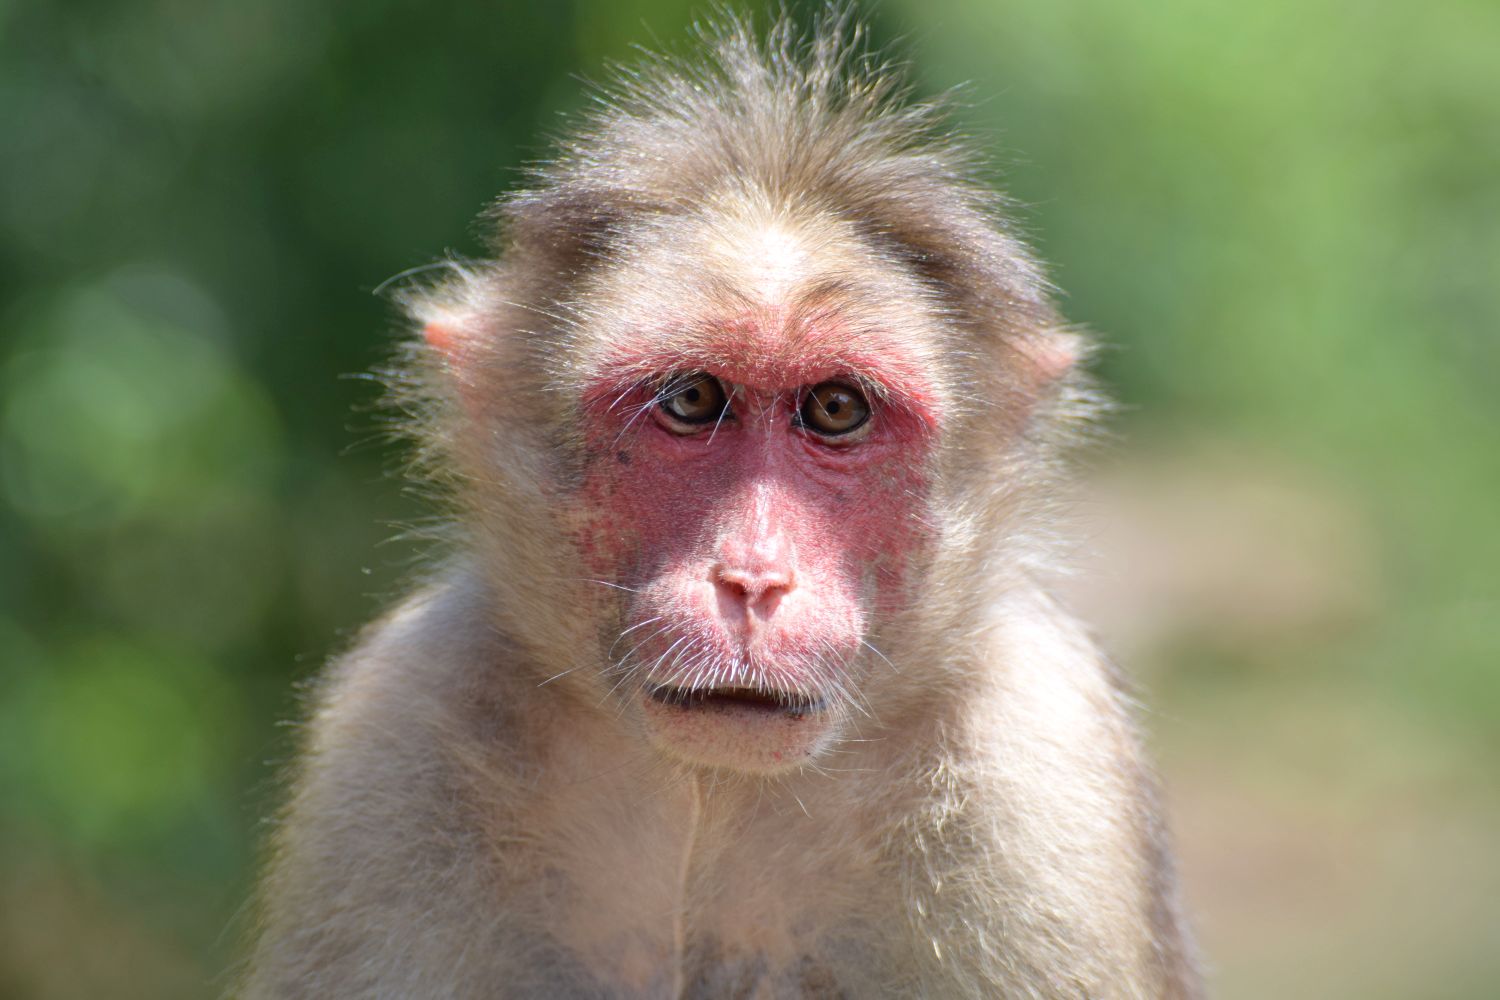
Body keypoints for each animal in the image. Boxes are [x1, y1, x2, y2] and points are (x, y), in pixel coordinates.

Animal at [241, 11, 1200, 1000]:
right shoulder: (395, 734)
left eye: (837, 409)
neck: (710, 793)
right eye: (693, 400)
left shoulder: (1037, 780)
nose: (753, 578)